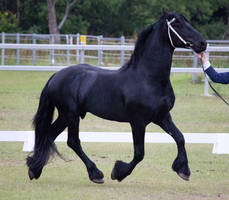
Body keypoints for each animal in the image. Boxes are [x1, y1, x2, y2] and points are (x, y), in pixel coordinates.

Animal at [27, 10, 208, 183]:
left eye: (187, 21)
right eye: (177, 24)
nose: (203, 43)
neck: (148, 78)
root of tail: (56, 75)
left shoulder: (162, 117)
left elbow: (180, 138)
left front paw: (183, 170)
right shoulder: (138, 122)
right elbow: (139, 153)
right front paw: (118, 173)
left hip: (66, 116)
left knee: (49, 135)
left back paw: (35, 169)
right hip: (71, 114)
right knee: (72, 141)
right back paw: (96, 174)